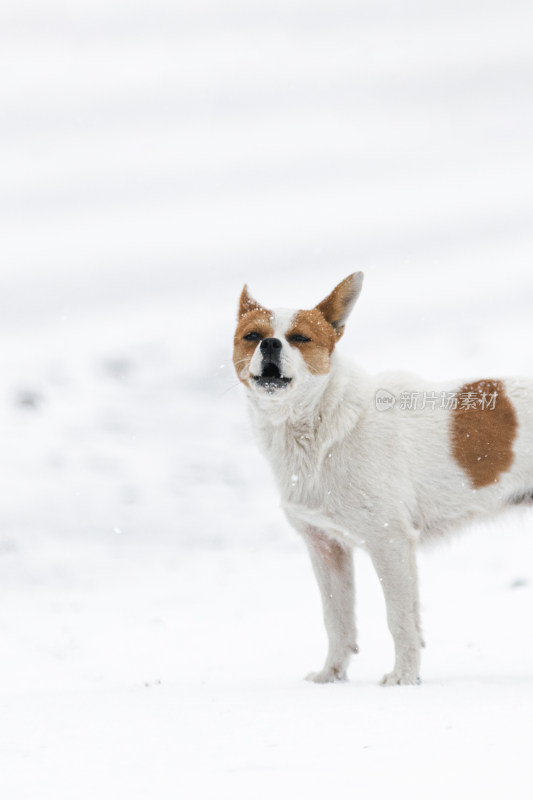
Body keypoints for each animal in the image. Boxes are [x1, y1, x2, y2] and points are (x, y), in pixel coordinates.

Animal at [233, 276, 532, 688]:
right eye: (252, 336)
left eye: (299, 338)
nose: (271, 344)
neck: (325, 428)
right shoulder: (325, 547)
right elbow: (337, 620)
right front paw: (331, 676)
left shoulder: (389, 541)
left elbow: (401, 620)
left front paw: (404, 678)